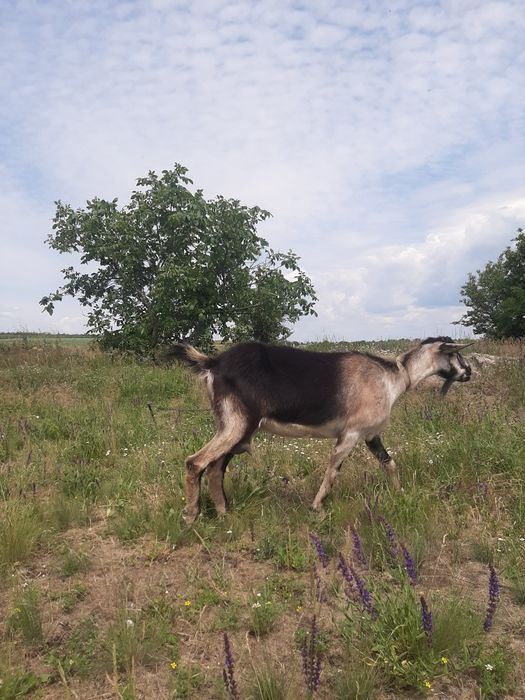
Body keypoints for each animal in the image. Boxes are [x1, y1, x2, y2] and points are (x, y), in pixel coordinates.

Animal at [168, 337, 472, 522]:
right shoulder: (350, 434)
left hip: (236, 429)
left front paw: (399, 494)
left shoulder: (371, 435)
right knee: (195, 462)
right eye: (456, 353)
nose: (468, 373)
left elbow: (390, 463)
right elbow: (333, 470)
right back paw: (191, 516)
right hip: (236, 423)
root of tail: (214, 363)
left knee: (215, 468)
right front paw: (317, 508)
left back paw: (224, 514)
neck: (392, 378)